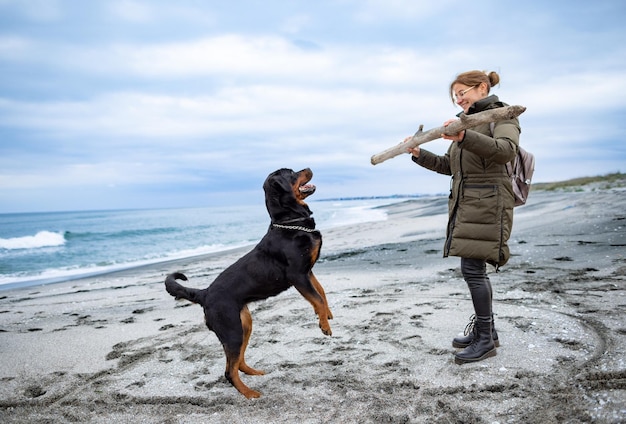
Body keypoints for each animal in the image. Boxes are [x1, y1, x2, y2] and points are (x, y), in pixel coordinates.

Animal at [165, 168, 332, 398]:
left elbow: (321, 292)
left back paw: (253, 373)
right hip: (232, 330)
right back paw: (249, 393)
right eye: (291, 173)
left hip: (244, 324)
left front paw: (326, 314)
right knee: (229, 371)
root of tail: (205, 293)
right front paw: (324, 325)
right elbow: (316, 297)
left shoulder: (308, 271)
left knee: (238, 362)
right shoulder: (297, 275)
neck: (290, 222)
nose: (308, 168)